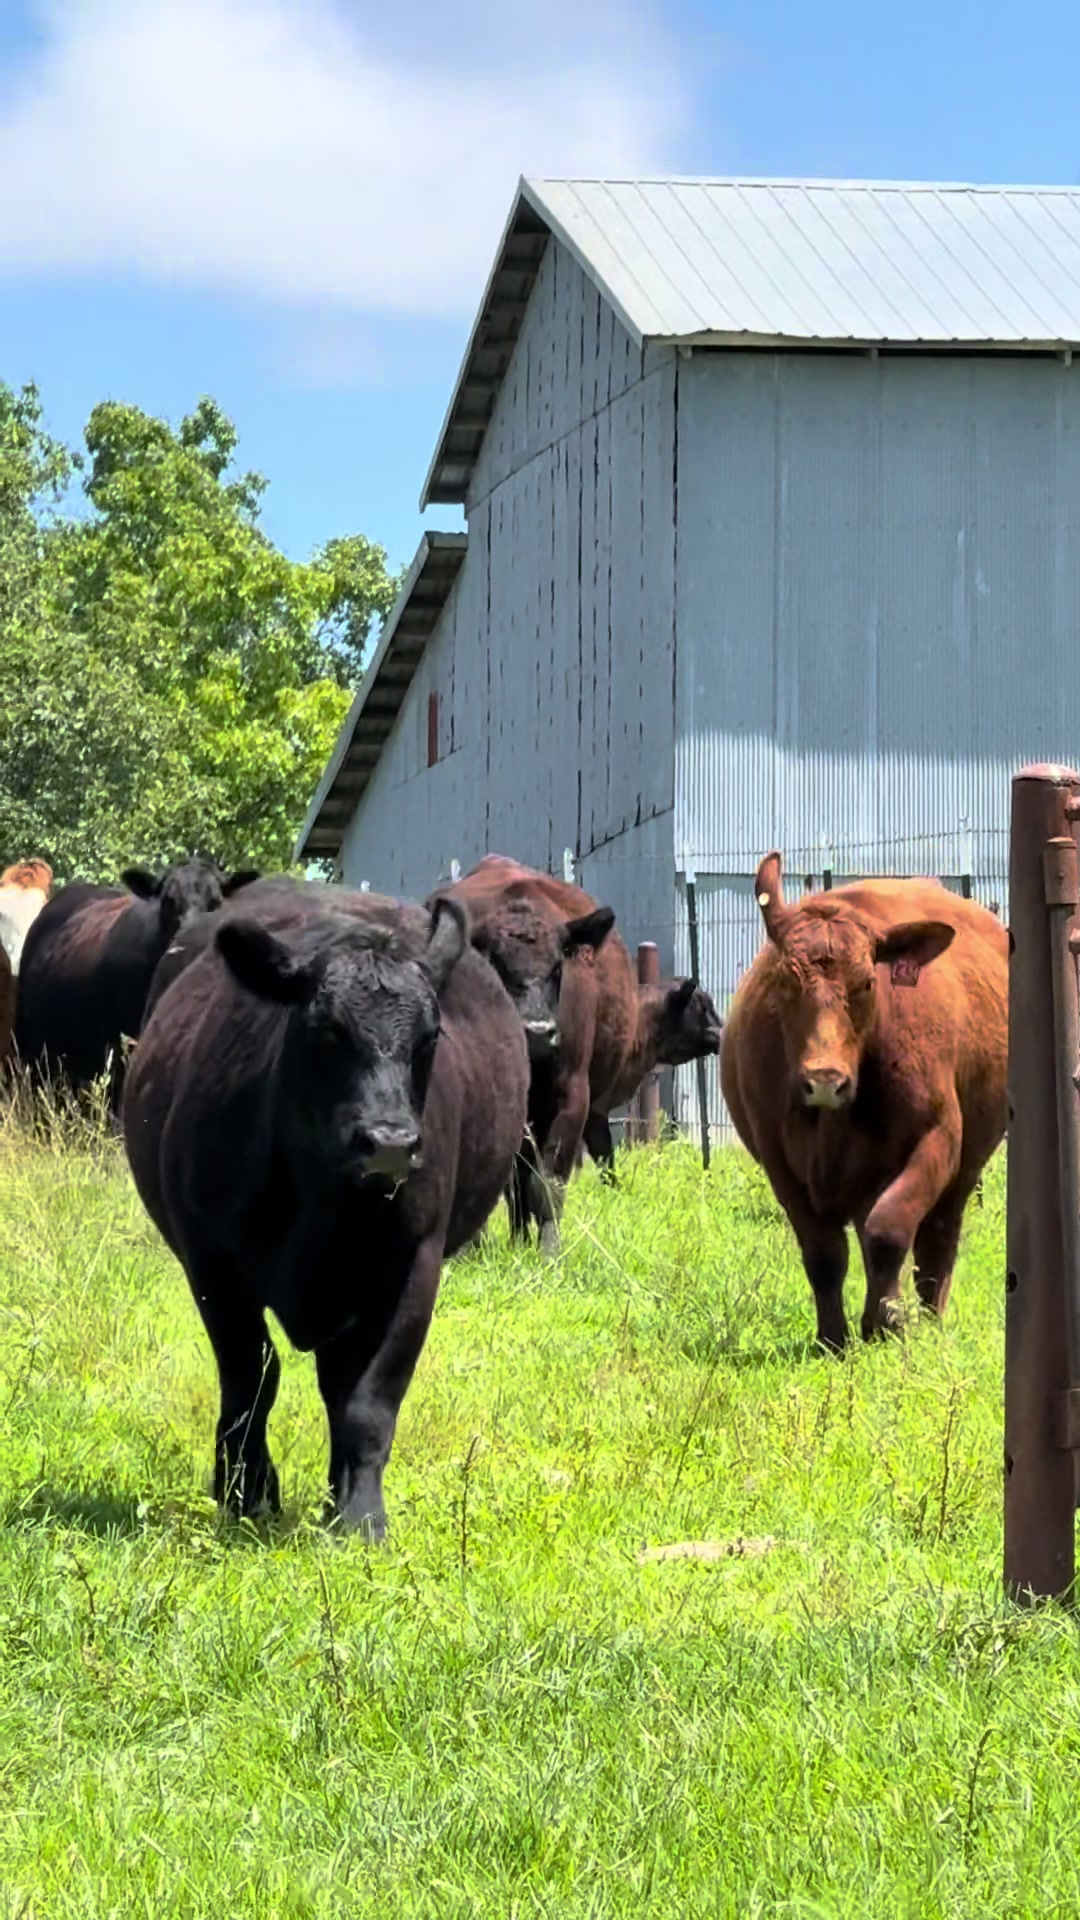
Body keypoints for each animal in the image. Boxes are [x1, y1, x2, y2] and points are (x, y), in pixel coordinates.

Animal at [122, 880, 529, 1540]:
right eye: (326, 1030)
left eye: (430, 1037)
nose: (389, 1141)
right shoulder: (213, 1265)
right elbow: (251, 1378)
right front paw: (246, 1492)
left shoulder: (413, 1267)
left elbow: (367, 1400)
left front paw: (359, 1517)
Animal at [719, 852, 1008, 1349]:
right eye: (782, 982)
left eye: (869, 983)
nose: (824, 1080)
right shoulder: (780, 1164)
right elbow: (824, 1254)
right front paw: (833, 1337)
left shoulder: (938, 1138)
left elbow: (889, 1230)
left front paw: (889, 1322)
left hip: (964, 1166)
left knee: (936, 1238)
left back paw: (928, 1318)